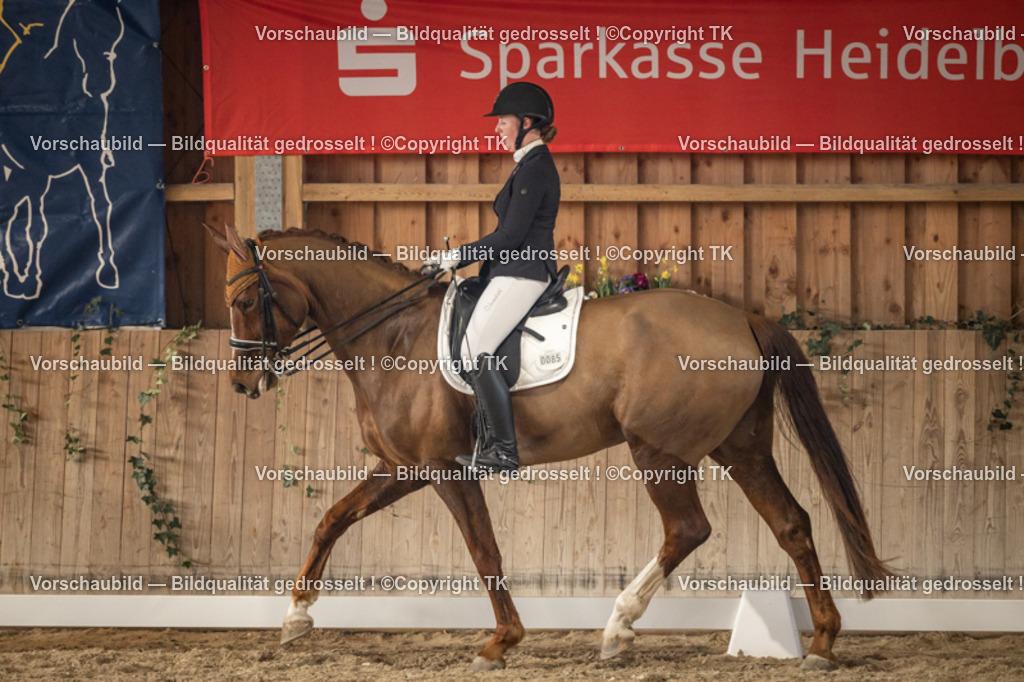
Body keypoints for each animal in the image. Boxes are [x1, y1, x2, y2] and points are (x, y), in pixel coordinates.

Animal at [205, 223, 893, 672]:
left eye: (243, 300)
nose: (241, 383)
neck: (394, 336)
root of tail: (742, 318)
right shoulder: (403, 467)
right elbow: (331, 519)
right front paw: (295, 617)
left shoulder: (446, 470)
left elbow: (484, 549)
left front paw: (501, 642)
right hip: (740, 447)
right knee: (792, 523)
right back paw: (822, 642)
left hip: (658, 451)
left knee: (689, 529)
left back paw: (618, 627)